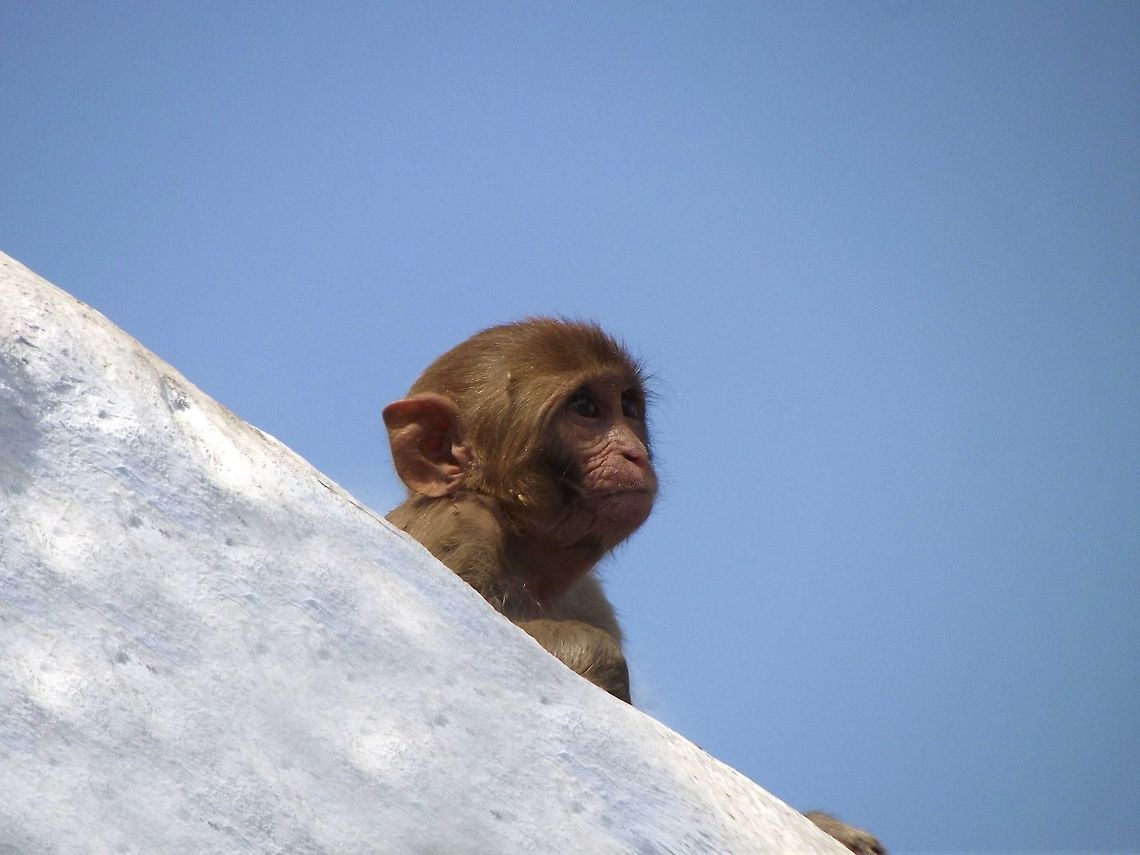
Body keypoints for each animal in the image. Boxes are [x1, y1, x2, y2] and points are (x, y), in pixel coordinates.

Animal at [383, 318, 885, 853]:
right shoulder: (459, 524)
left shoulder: (588, 594)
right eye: (585, 408)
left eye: (627, 406)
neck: (524, 548)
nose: (634, 452)